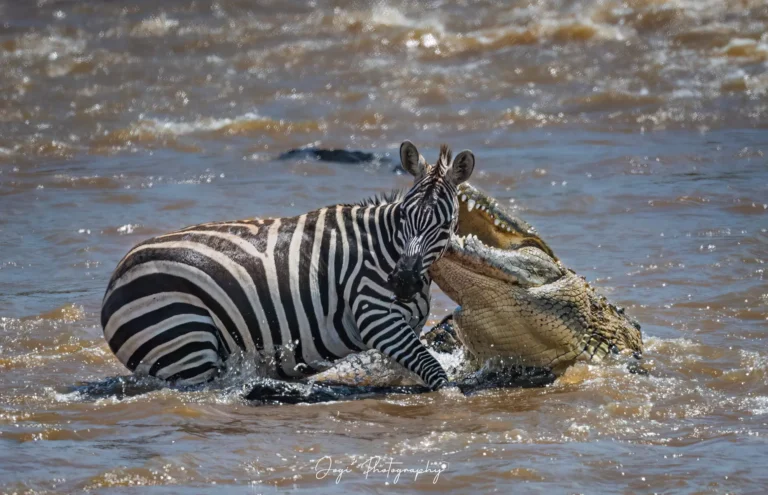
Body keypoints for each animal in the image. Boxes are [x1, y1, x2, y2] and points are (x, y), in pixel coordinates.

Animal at [101, 141, 475, 391]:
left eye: (445, 225)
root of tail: (116, 278)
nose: (402, 281)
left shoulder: (407, 325)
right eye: (404, 217)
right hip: (184, 341)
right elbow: (435, 372)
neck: (385, 248)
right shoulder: (375, 316)